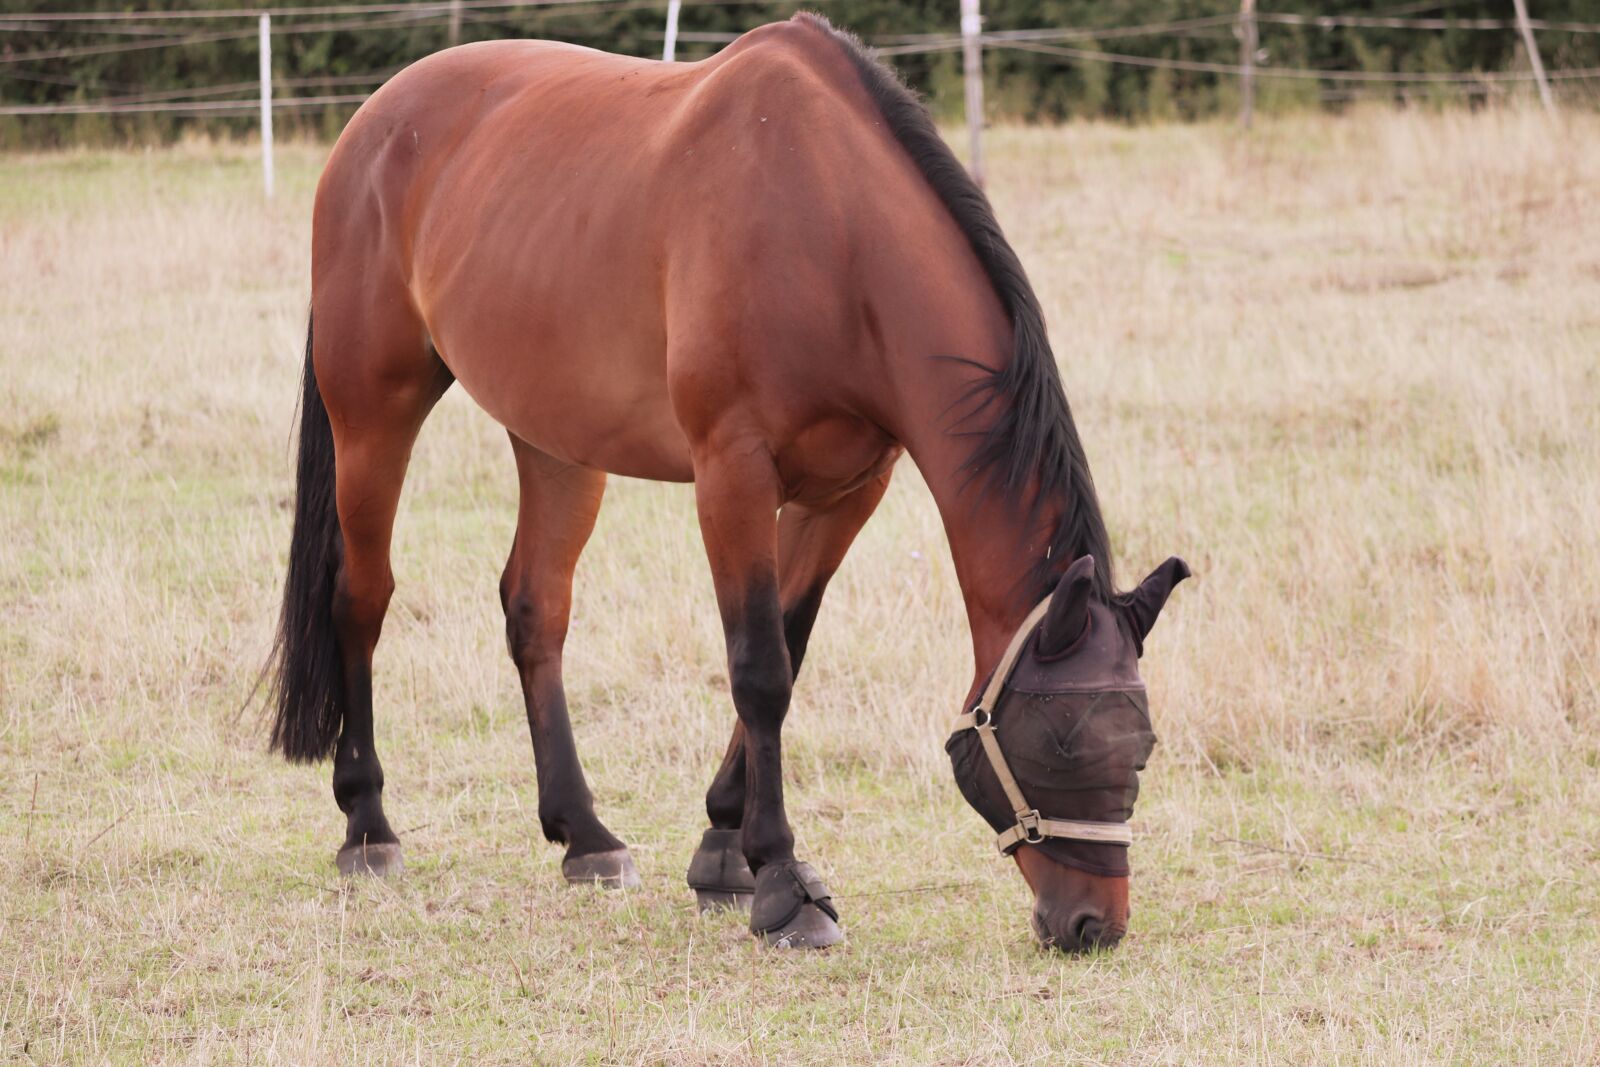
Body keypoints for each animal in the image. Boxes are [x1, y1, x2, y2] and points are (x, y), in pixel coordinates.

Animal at [266, 12, 1188, 953]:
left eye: (1142, 746)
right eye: (1065, 741)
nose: (1092, 922)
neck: (833, 231)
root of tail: (373, 122)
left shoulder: (845, 491)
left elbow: (790, 641)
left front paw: (721, 846)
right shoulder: (732, 474)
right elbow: (760, 666)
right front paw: (781, 880)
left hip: (556, 440)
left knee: (535, 607)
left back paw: (584, 834)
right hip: (373, 416)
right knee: (361, 597)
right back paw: (368, 825)